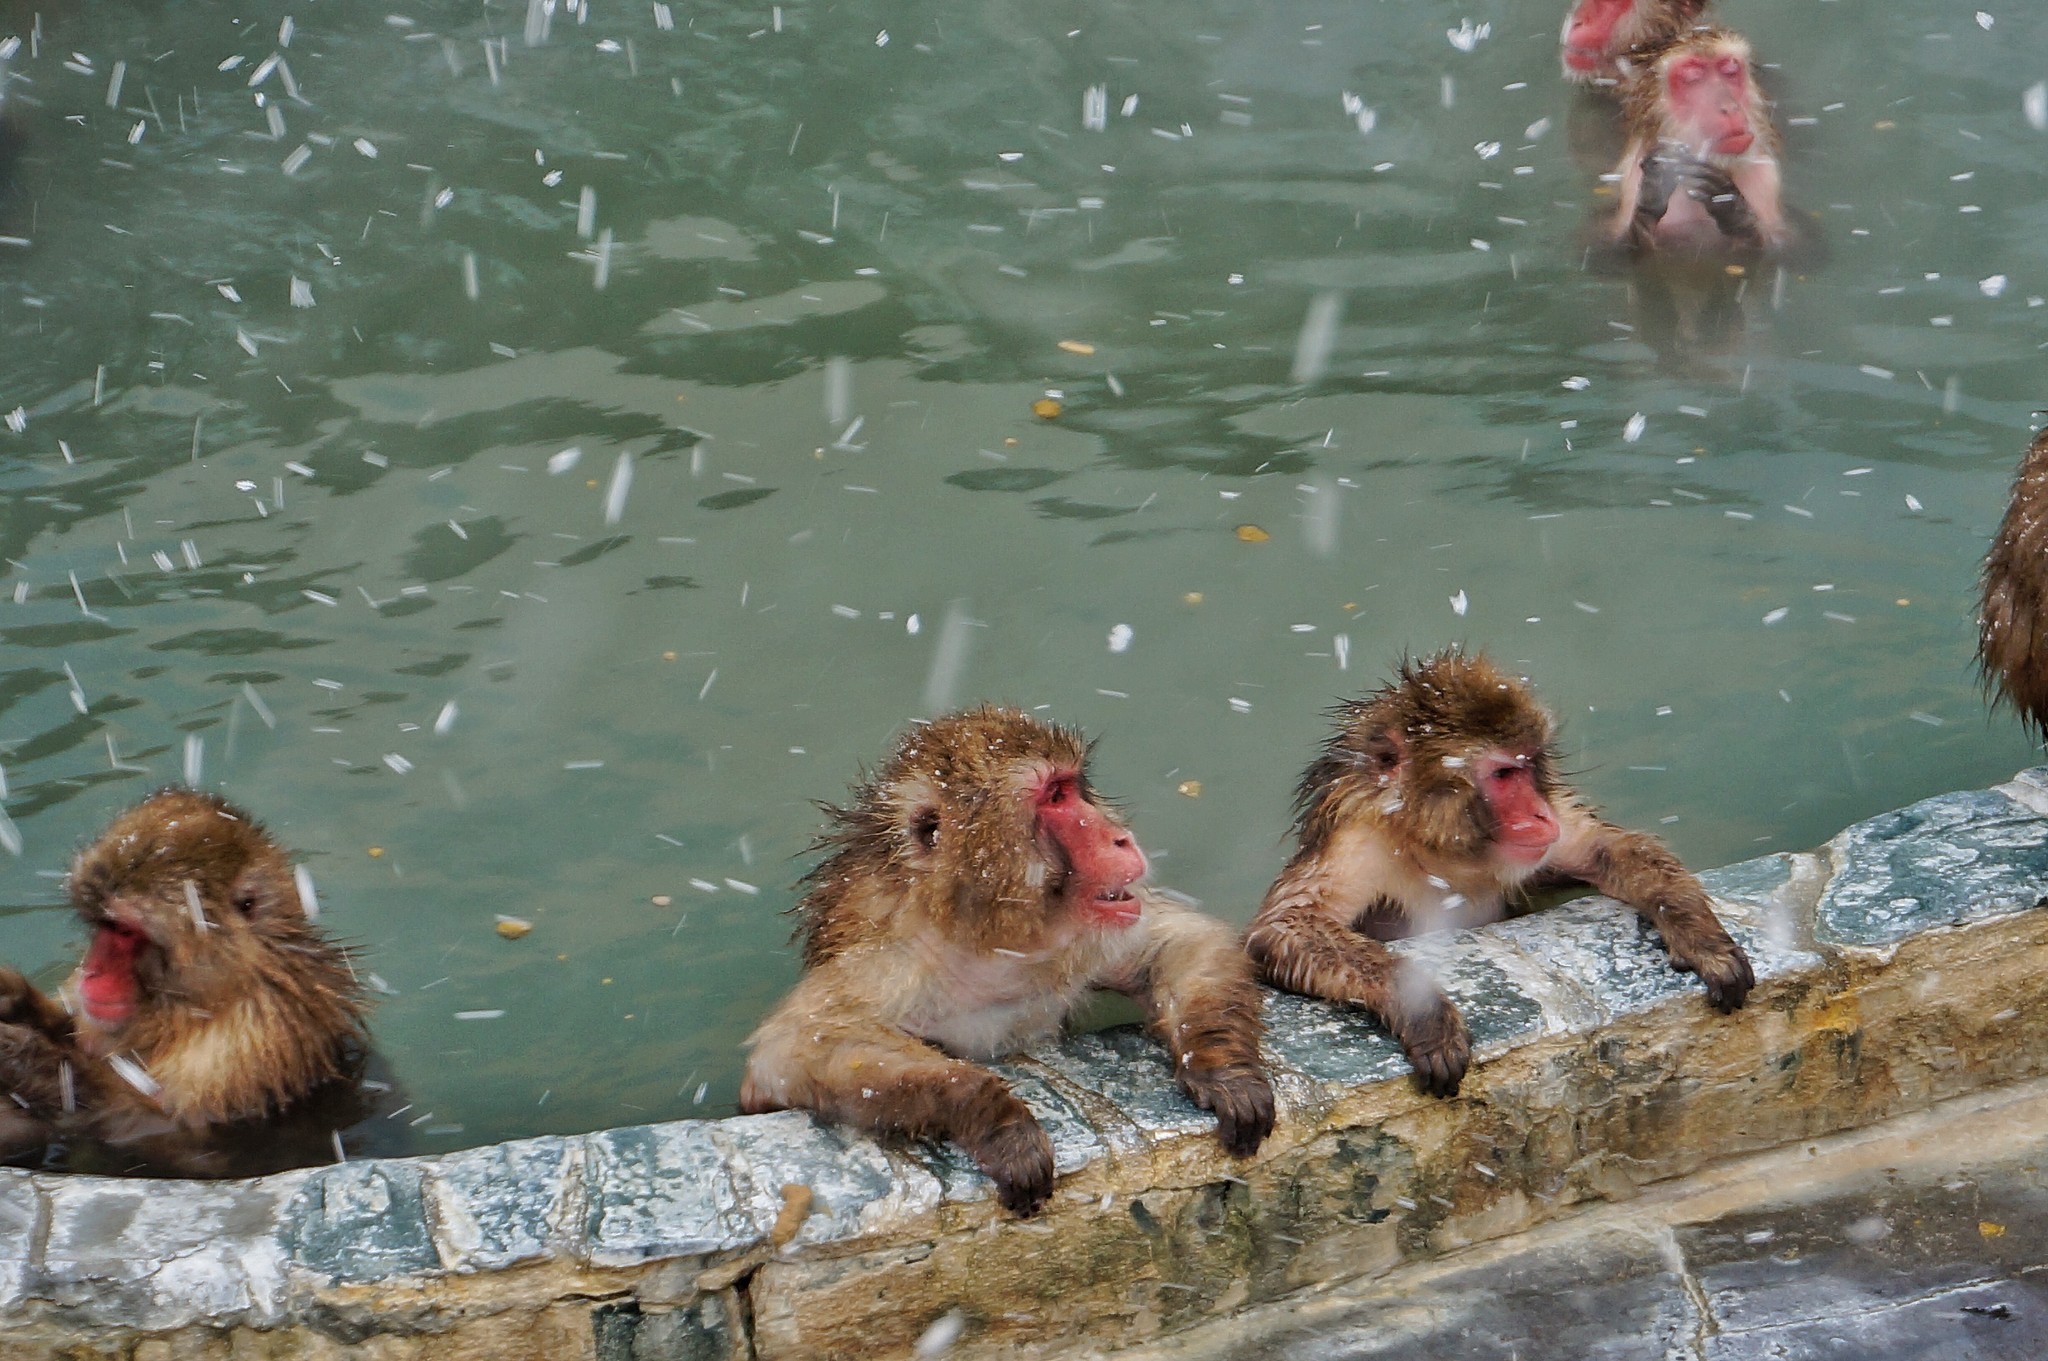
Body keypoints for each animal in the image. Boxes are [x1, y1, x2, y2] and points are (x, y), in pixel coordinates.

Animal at [745, 704, 1269, 1211]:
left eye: (1071, 787)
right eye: (1053, 798)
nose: (1120, 837)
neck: (981, 941)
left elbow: (1182, 939)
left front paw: (1224, 1068)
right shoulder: (885, 965)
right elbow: (796, 1048)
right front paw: (995, 1117)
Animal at [1245, 646, 1761, 1096]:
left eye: (1529, 763)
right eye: (1503, 774)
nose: (1542, 815)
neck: (1436, 846)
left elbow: (1603, 848)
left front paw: (1701, 937)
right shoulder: (1358, 843)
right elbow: (1286, 925)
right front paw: (1423, 1012)